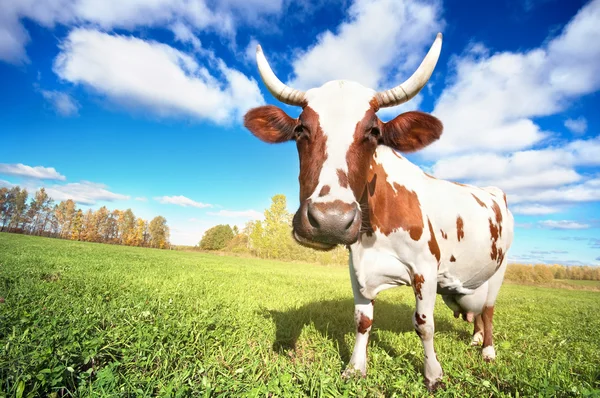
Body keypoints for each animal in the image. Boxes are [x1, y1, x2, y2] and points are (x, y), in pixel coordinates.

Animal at [244, 31, 516, 392]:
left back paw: (487, 350)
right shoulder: (356, 266)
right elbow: (362, 320)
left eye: (373, 132)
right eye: (301, 129)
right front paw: (355, 367)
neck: (374, 233)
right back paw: (474, 339)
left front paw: (433, 374)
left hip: (499, 269)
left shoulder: (426, 269)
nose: (330, 220)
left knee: (487, 311)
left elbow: (424, 324)